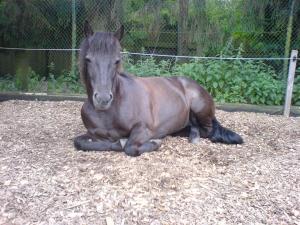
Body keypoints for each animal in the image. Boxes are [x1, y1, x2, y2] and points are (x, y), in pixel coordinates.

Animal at [73, 22, 244, 157]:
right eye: (88, 59)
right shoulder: (93, 134)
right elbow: (79, 142)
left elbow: (129, 147)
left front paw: (154, 143)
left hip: (199, 108)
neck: (111, 111)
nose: (103, 99)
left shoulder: (143, 129)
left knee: (208, 130)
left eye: (117, 60)